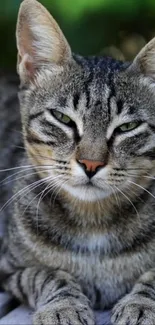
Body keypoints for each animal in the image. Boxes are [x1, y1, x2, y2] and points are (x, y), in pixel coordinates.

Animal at [0, 0, 155, 322]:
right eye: (62, 118)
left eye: (127, 127)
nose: (91, 164)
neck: (93, 221)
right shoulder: (11, 270)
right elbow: (48, 274)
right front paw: (63, 306)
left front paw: (141, 304)